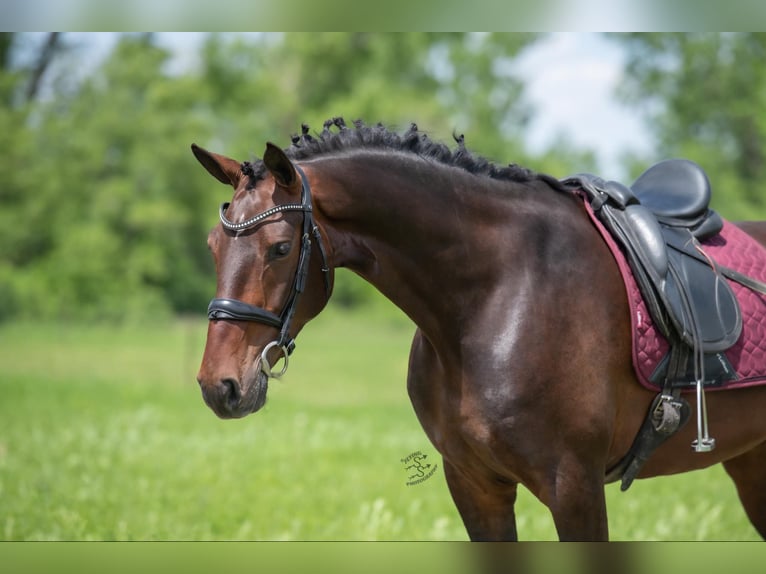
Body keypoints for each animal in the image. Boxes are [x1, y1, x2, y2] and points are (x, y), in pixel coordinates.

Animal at [192, 119, 766, 541]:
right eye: (212, 246)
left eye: (280, 248)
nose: (220, 386)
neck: (496, 296)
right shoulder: (475, 485)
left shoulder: (574, 487)